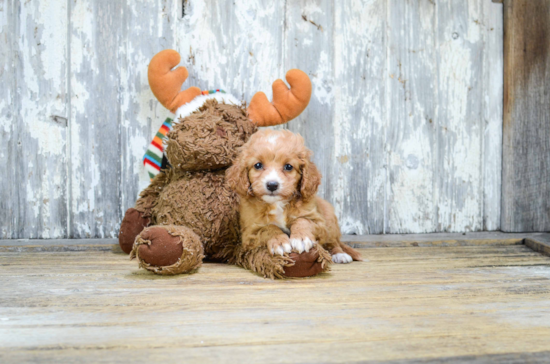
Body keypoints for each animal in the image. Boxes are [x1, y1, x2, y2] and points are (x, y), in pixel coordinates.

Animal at [227, 129, 362, 264]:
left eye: (288, 166)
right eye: (258, 165)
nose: (272, 185)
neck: (277, 203)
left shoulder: (318, 222)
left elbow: (303, 220)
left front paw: (301, 238)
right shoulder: (250, 232)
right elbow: (268, 228)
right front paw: (279, 242)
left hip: (329, 221)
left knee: (333, 242)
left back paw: (340, 254)